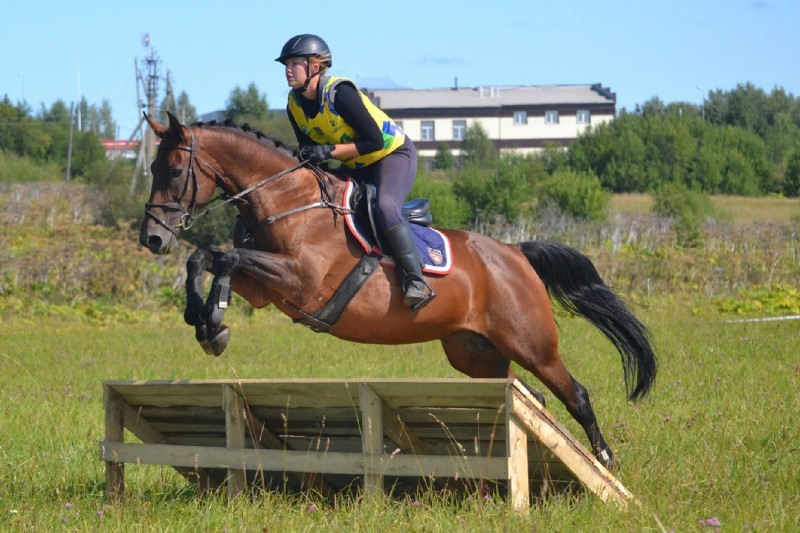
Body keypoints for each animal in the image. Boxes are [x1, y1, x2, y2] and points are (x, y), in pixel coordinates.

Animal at [138, 112, 656, 470]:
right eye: (151, 167)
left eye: (175, 169)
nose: (153, 239)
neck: (289, 201)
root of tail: (515, 253)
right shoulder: (268, 288)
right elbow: (204, 258)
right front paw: (204, 321)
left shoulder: (301, 281)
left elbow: (224, 258)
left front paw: (214, 322)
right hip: (478, 354)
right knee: (530, 399)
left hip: (532, 343)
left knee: (576, 394)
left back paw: (606, 463)